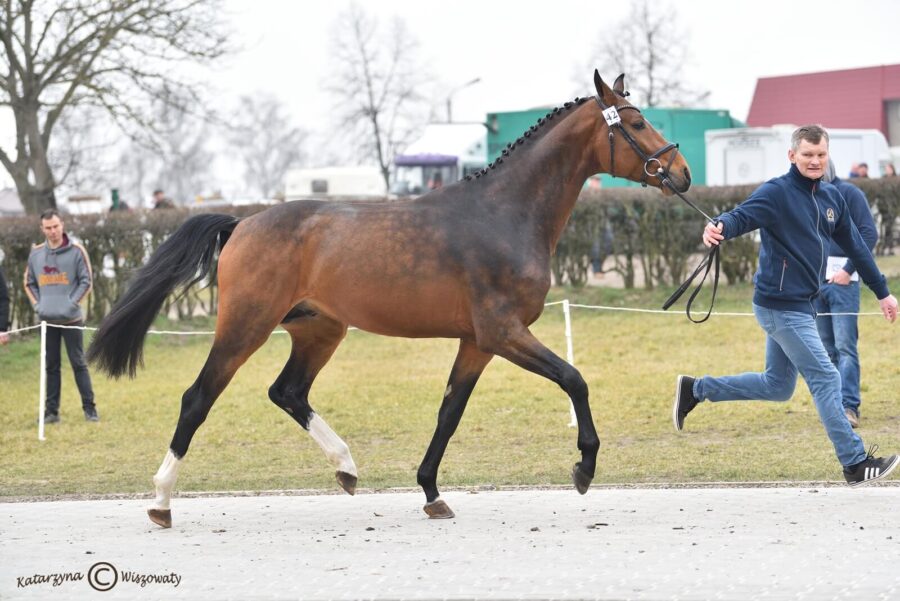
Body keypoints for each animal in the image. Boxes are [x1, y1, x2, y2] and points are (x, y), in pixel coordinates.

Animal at [89, 71, 688, 528]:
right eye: (636, 123)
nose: (680, 173)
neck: (503, 214)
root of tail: (242, 224)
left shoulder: (477, 342)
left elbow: (449, 412)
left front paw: (432, 493)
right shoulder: (504, 332)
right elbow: (573, 379)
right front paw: (584, 469)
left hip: (319, 330)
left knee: (288, 392)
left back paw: (347, 467)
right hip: (245, 327)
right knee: (198, 398)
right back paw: (162, 501)